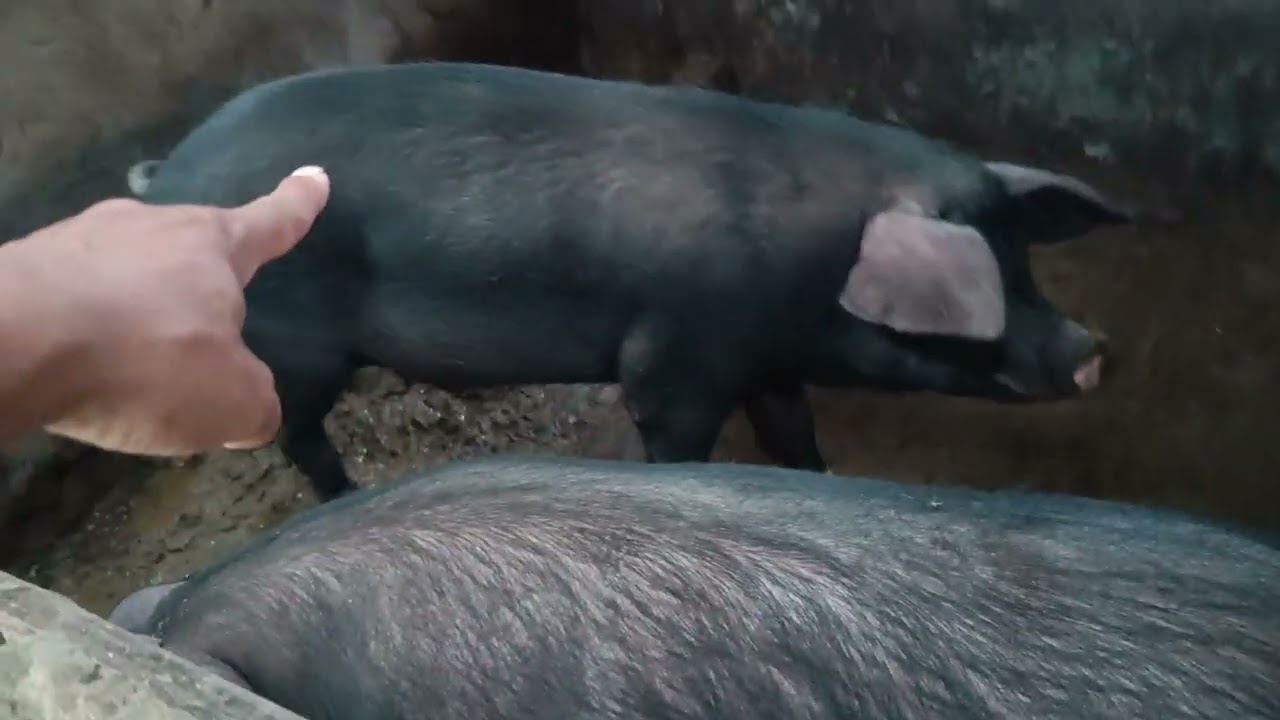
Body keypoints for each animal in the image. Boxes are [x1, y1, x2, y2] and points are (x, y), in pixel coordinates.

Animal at [126, 61, 1134, 499]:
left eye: (1024, 259)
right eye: (985, 288)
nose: (1092, 350)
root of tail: (166, 176)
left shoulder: (765, 359)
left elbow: (793, 433)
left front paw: (824, 478)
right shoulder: (678, 356)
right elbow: (677, 436)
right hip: (292, 344)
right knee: (293, 430)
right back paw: (344, 495)